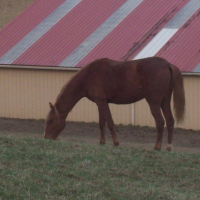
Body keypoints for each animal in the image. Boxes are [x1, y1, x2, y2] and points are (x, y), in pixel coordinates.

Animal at [44, 56, 185, 150]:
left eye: (50, 121)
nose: (46, 138)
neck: (88, 75)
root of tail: (167, 64)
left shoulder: (102, 102)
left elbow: (110, 122)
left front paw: (116, 142)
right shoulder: (100, 102)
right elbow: (102, 123)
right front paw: (102, 142)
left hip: (154, 103)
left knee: (160, 121)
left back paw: (157, 147)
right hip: (164, 102)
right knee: (170, 121)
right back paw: (168, 147)